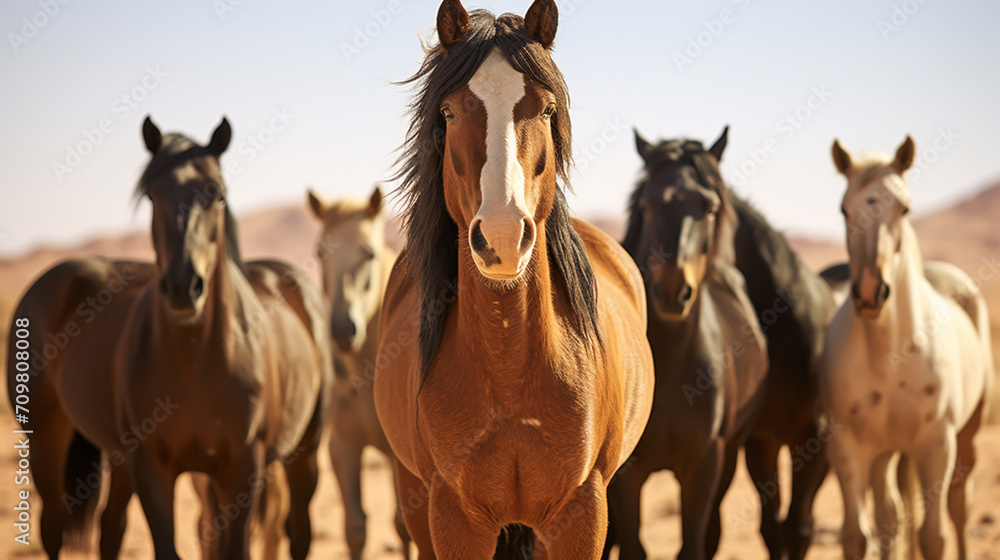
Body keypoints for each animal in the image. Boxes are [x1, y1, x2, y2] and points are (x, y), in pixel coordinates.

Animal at [307, 185, 410, 559]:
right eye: (320, 252)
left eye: (369, 254)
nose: (342, 328)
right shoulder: (342, 447)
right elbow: (355, 528)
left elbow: (402, 526)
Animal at [373, 1, 655, 558]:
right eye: (449, 112)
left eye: (546, 109)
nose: (502, 236)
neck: (511, 368)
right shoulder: (452, 518)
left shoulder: (582, 513)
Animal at [605, 130, 768, 560]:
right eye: (647, 204)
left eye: (709, 207)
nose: (671, 291)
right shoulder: (626, 473)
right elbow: (633, 547)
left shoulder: (704, 464)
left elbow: (692, 545)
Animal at [821, 136, 993, 560]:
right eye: (844, 209)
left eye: (904, 208)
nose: (870, 292)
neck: (890, 354)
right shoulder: (850, 447)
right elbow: (857, 535)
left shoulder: (936, 445)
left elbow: (934, 537)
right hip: (886, 453)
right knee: (892, 515)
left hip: (965, 439)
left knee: (959, 507)